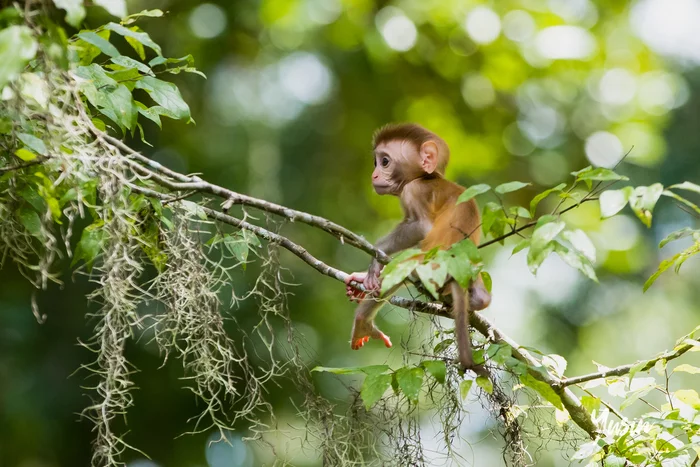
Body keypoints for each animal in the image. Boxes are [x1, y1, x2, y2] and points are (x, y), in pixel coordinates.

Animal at [346, 123, 490, 372]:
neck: (425, 177)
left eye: (384, 162)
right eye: (376, 162)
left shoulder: (413, 191)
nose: (374, 174)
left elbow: (422, 227)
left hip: (430, 269)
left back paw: (363, 322)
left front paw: (374, 263)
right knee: (483, 298)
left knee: (405, 265)